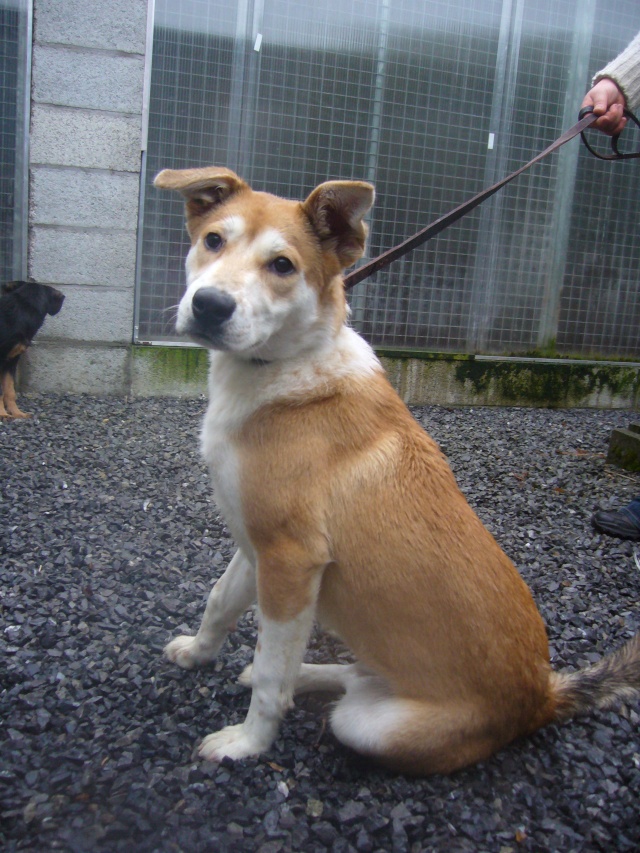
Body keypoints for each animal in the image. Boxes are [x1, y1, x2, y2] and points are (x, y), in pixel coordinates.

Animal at [155, 166, 640, 772]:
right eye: (213, 240)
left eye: (283, 265)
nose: (210, 305)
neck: (286, 367)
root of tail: (542, 699)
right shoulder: (256, 546)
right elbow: (219, 603)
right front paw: (197, 654)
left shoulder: (291, 560)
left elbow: (272, 673)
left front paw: (247, 743)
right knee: (352, 676)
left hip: (373, 727)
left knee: (338, 695)